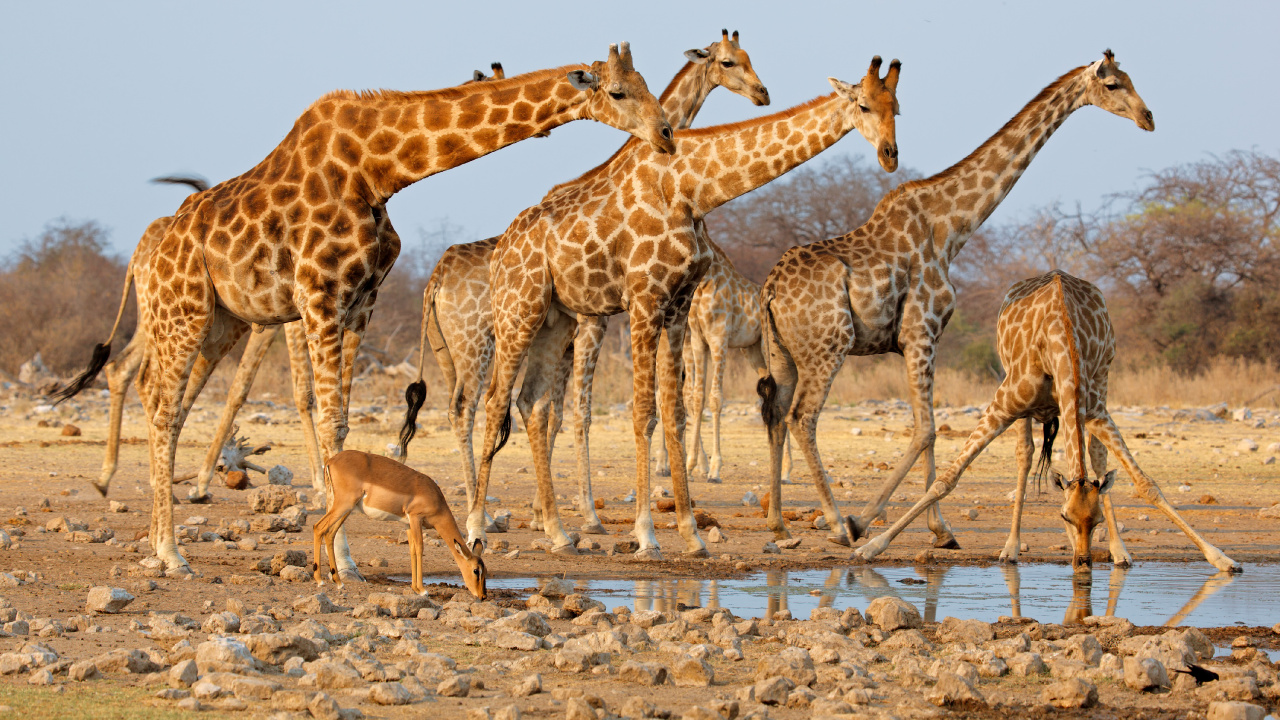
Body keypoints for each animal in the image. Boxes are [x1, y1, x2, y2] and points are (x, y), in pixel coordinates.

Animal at [58, 45, 676, 575]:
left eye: (648, 84)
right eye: (618, 91)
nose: (666, 134)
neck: (379, 170)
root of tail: (146, 256)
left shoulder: (360, 304)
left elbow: (343, 423)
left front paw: (343, 557)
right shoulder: (319, 296)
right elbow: (330, 420)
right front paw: (342, 560)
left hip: (218, 322)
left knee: (164, 399)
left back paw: (158, 541)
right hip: (180, 310)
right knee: (162, 406)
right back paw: (169, 552)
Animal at [399, 30, 771, 535]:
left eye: (750, 58)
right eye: (730, 62)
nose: (762, 93)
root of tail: (434, 278)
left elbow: (551, 412)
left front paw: (549, 513)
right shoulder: (593, 324)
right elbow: (576, 413)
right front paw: (586, 513)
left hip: (448, 351)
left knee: (462, 407)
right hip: (479, 342)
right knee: (469, 407)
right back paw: (479, 514)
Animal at [468, 56, 901, 559]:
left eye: (898, 107)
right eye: (864, 104)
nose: (890, 154)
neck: (691, 188)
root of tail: (500, 250)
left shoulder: (677, 307)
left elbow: (674, 411)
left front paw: (692, 534)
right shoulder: (644, 300)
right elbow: (643, 411)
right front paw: (645, 533)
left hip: (555, 320)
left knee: (533, 404)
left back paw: (559, 533)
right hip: (518, 310)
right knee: (496, 401)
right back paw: (478, 527)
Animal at [756, 51, 1155, 549]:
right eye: (1114, 84)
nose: (1148, 117)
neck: (950, 227)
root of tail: (770, 289)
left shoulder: (920, 341)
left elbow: (927, 430)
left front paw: (935, 529)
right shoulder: (921, 332)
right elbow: (927, 430)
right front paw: (874, 523)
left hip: (782, 352)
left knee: (776, 414)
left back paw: (778, 523)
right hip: (828, 347)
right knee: (802, 418)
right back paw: (834, 522)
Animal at [853, 271, 1241, 572]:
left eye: (1096, 521)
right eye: (1064, 517)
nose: (1084, 562)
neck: (1059, 343)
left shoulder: (1094, 409)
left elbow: (1146, 483)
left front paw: (1221, 558)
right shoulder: (1003, 404)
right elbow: (947, 479)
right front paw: (870, 546)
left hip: (1100, 385)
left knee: (1092, 459)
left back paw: (1118, 552)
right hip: (1020, 401)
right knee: (1026, 455)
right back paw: (1010, 548)